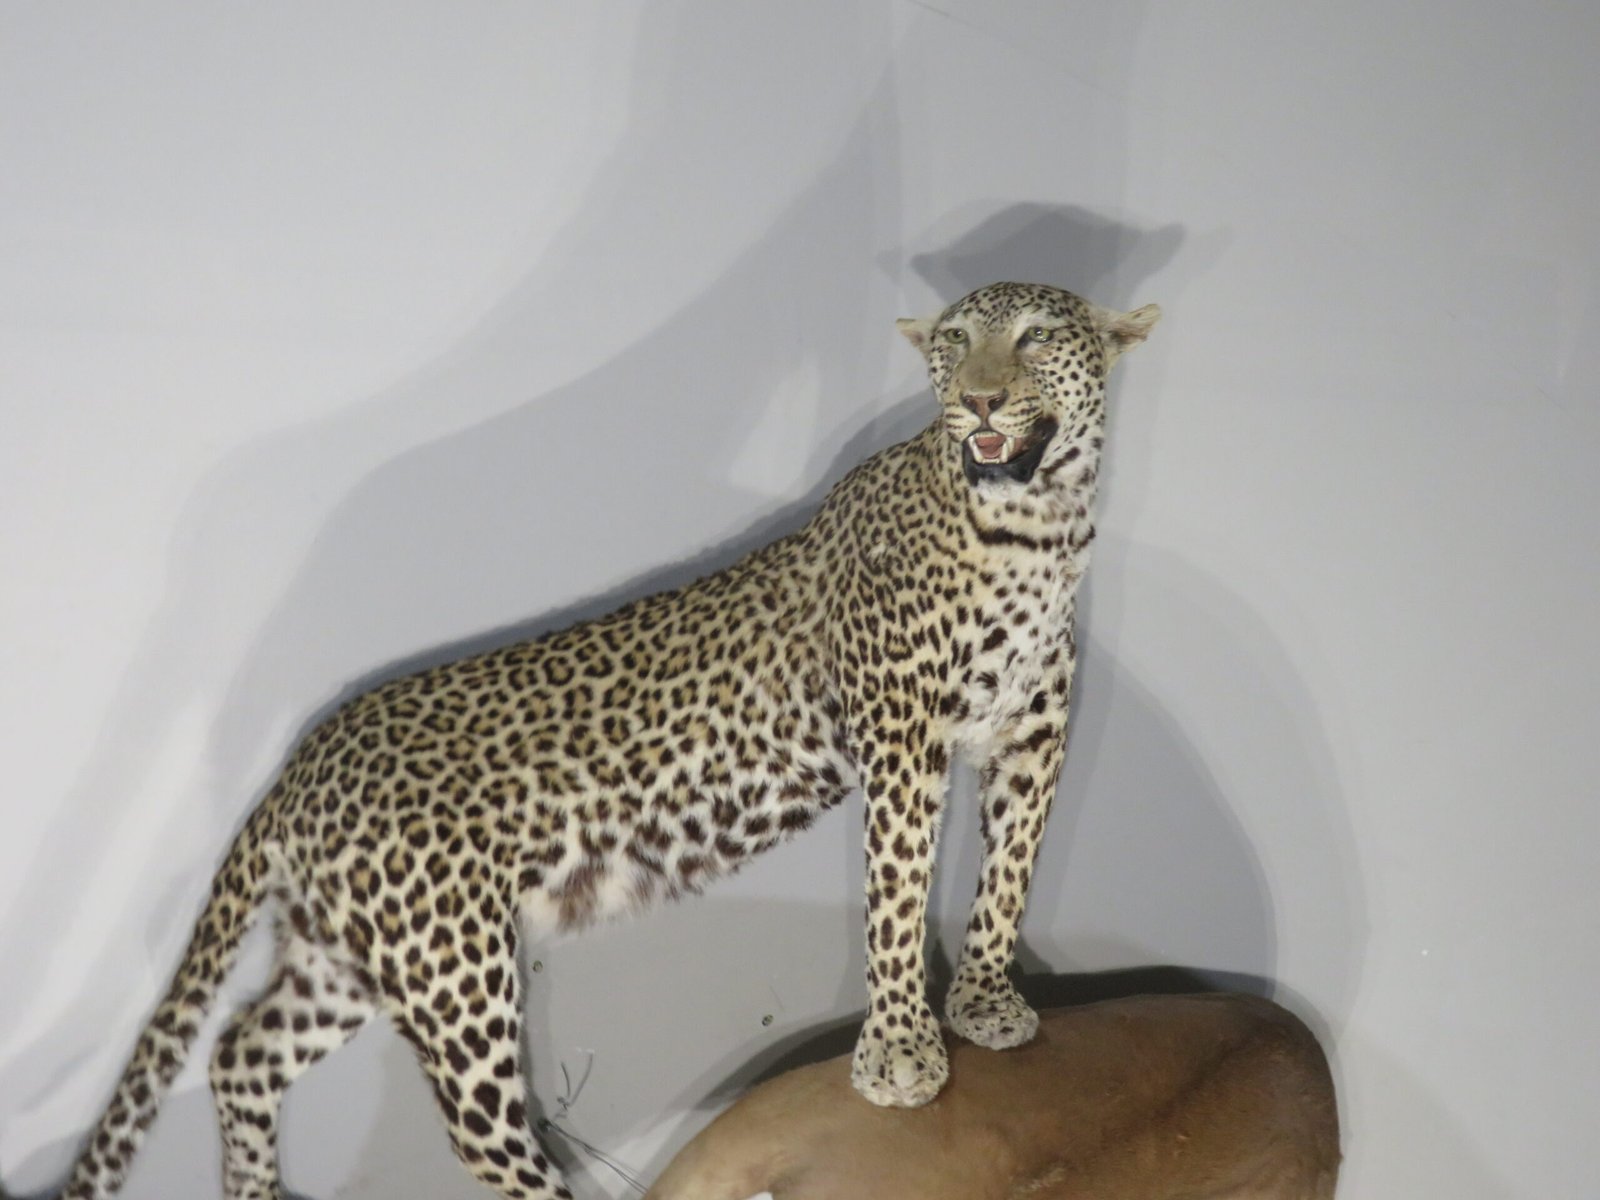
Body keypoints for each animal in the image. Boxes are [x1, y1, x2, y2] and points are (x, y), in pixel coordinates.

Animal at [46, 281, 1159, 1200]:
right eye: (956, 343)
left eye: (1035, 336)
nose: (979, 402)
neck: (1038, 532)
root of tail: (299, 764)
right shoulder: (900, 743)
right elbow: (895, 900)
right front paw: (896, 1054)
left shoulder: (1033, 738)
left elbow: (1008, 874)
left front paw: (985, 1001)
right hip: (456, 976)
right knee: (479, 1141)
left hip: (352, 958)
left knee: (238, 1050)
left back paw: (259, 1192)